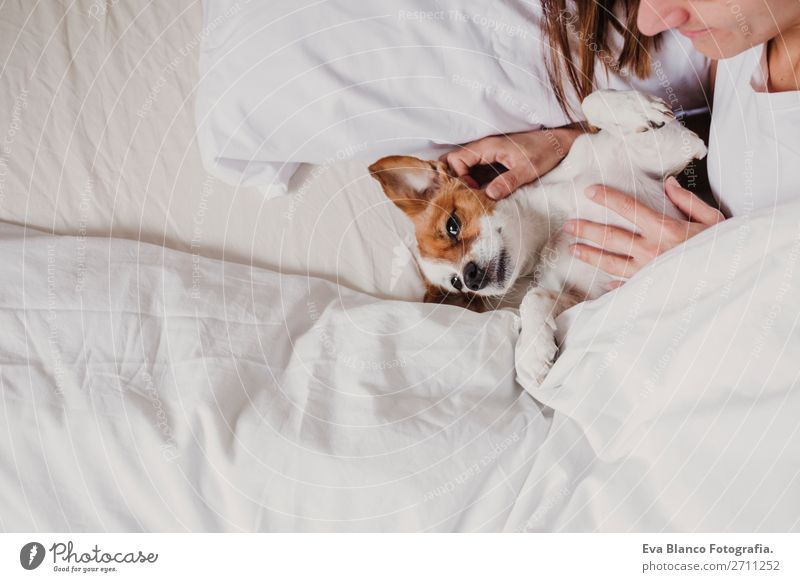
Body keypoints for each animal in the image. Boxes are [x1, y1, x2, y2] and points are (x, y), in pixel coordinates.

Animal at [368, 91, 708, 388]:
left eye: (453, 225)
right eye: (456, 285)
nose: (470, 277)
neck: (550, 227)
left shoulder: (675, 148)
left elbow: (593, 100)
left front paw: (639, 107)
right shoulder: (588, 295)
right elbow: (534, 297)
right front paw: (531, 351)